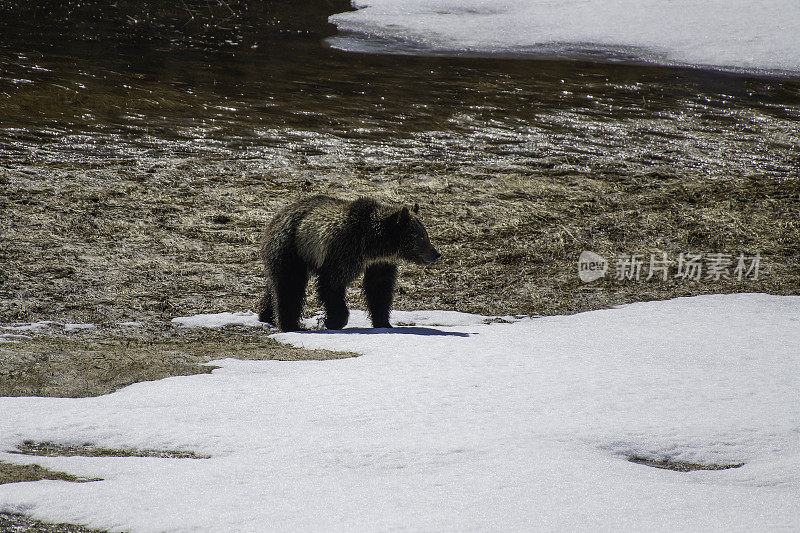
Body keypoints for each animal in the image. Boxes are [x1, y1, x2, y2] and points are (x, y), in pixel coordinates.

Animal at [258, 193, 440, 330]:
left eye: (425, 234)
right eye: (421, 236)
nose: (436, 254)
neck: (372, 245)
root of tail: (276, 217)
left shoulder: (380, 263)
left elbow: (379, 288)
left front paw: (383, 322)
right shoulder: (344, 250)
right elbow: (331, 284)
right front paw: (333, 320)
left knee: (276, 286)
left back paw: (266, 315)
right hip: (292, 247)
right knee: (289, 285)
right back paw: (290, 324)